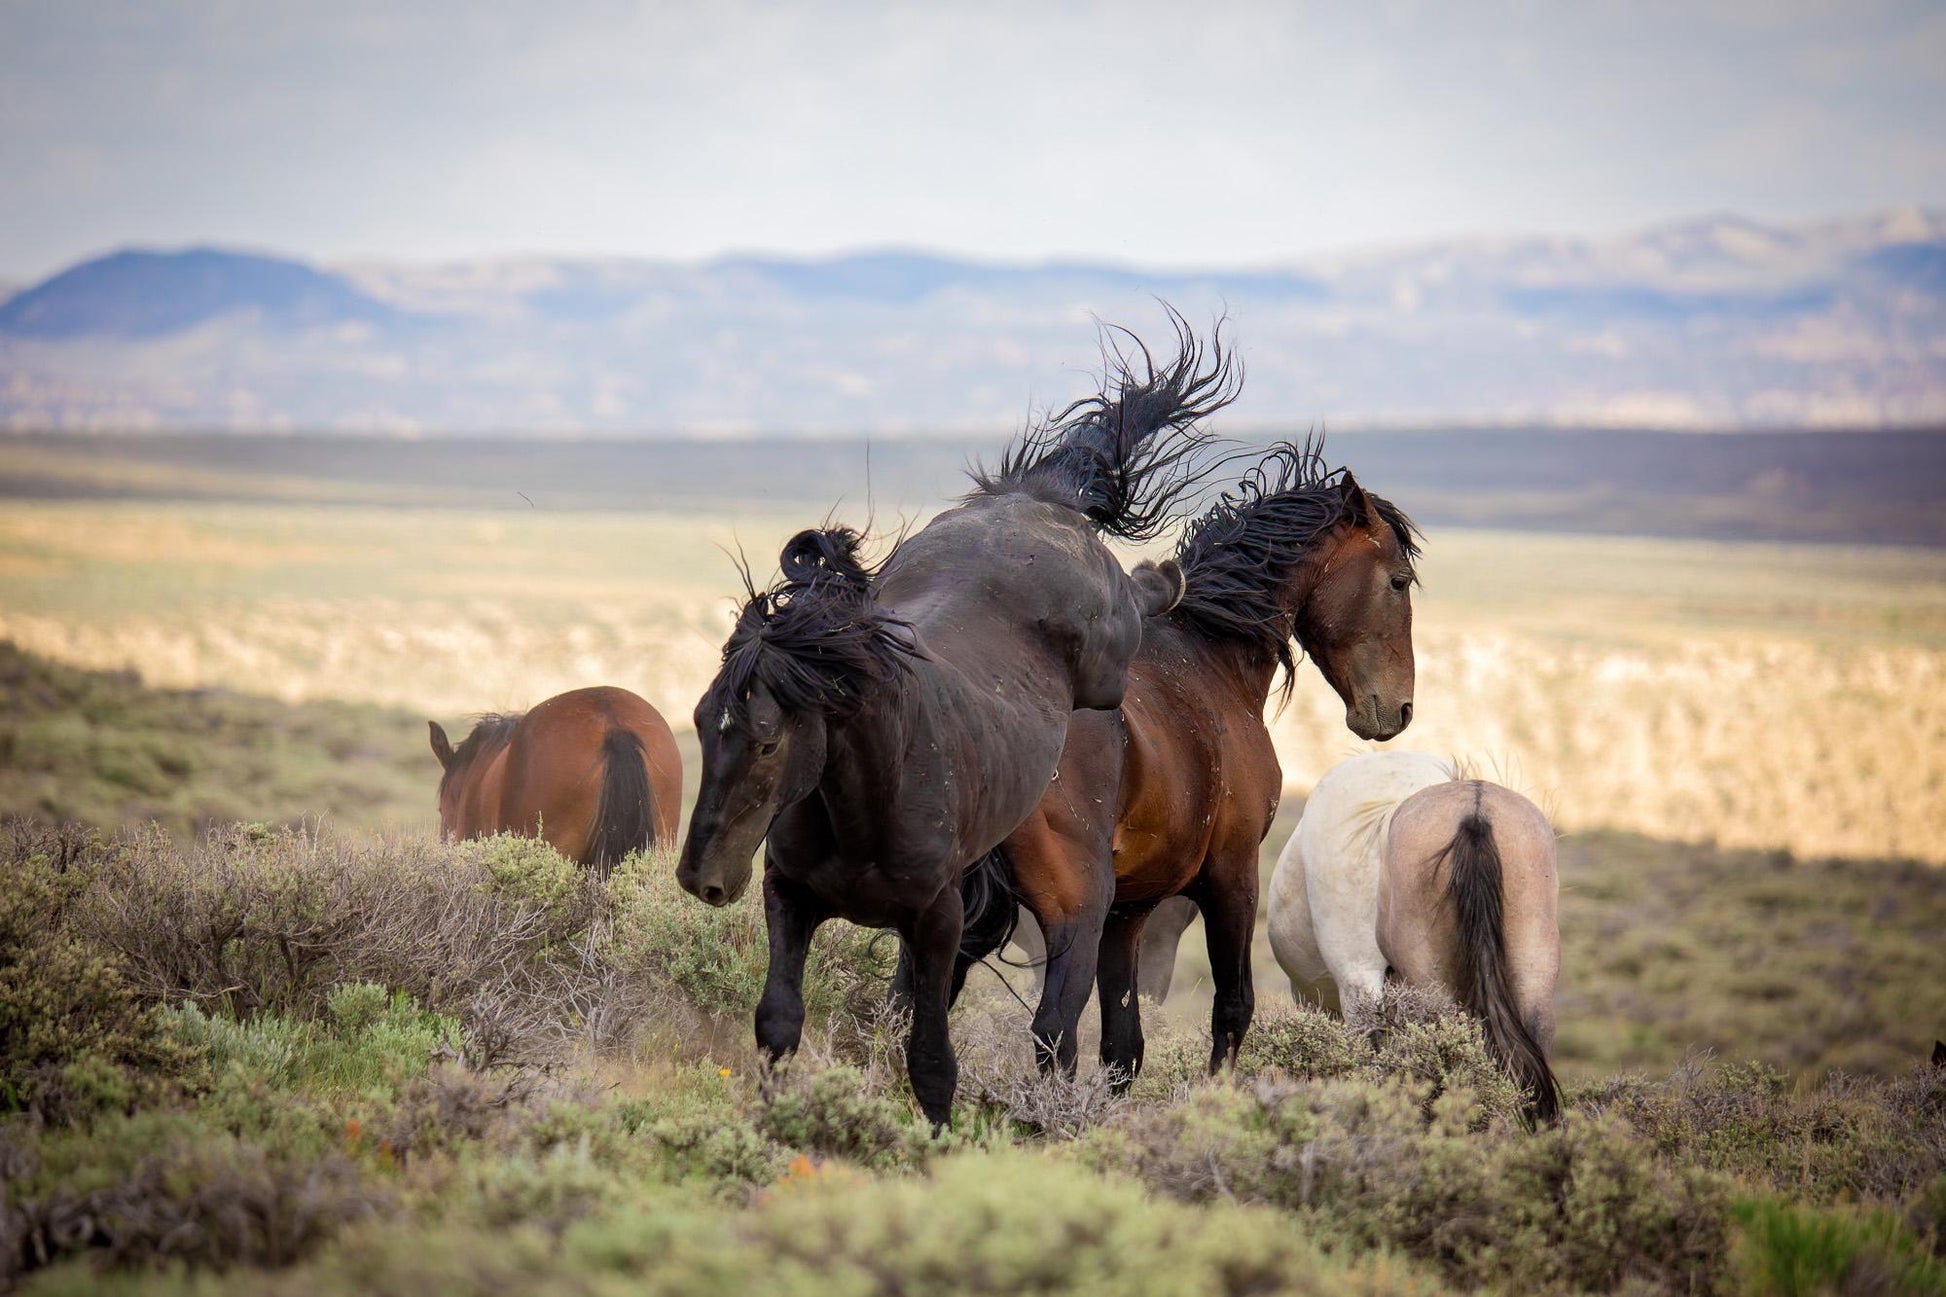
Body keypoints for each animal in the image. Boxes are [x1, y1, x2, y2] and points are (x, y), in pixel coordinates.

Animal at [677, 329, 1237, 1129]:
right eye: (699, 722)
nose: (704, 878)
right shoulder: (789, 898)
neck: (866, 806)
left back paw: (1165, 574)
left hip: (1108, 657)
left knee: (1137, 596)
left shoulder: (938, 921)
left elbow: (931, 1057)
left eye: (767, 739)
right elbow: (779, 1022)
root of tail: (1034, 500)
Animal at [941, 442, 1416, 1082]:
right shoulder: (1233, 877)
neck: (1211, 657)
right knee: (1053, 1032)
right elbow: (1232, 1009)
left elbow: (1123, 1045)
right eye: (1398, 580)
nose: (1397, 710)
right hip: (1073, 917)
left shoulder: (1129, 914)